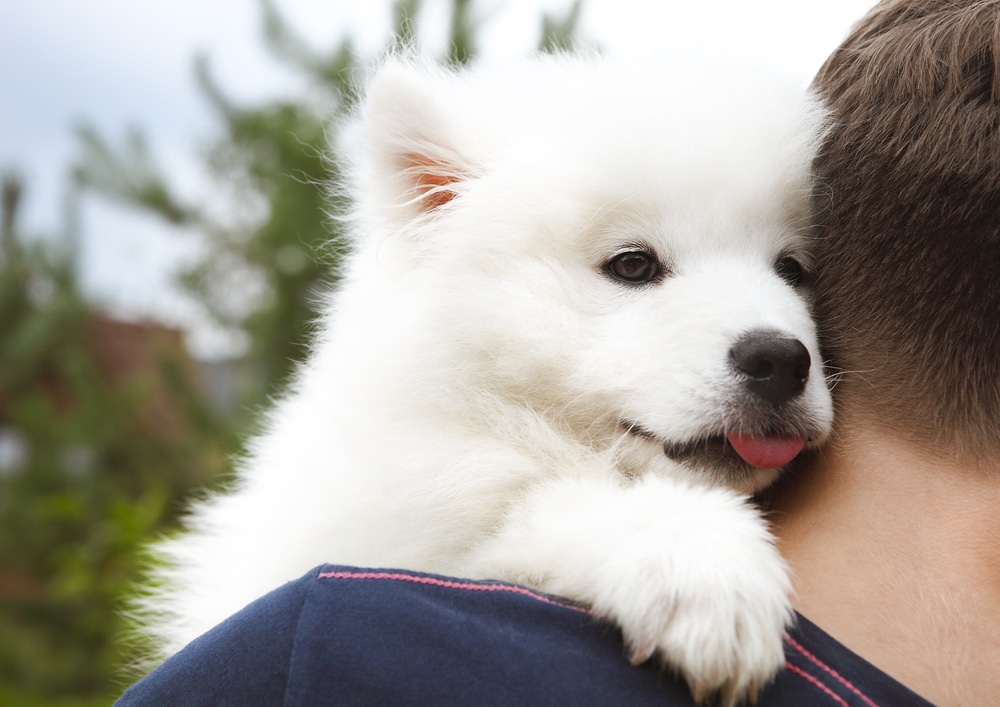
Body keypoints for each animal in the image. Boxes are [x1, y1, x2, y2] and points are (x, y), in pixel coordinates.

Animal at [137, 54, 832, 704]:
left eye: (793, 270)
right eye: (633, 265)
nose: (779, 359)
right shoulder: (387, 524)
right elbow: (525, 509)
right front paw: (703, 566)